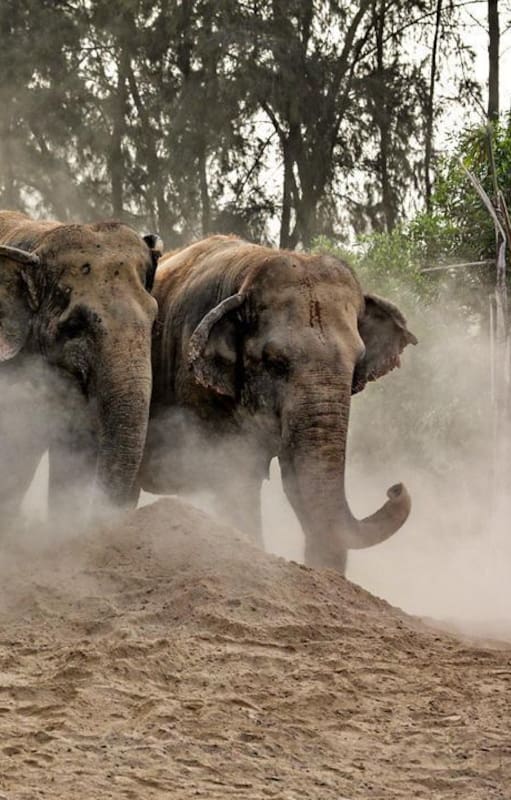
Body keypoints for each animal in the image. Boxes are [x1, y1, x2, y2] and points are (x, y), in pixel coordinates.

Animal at [138, 235, 417, 573]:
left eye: (357, 364)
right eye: (276, 364)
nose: (395, 488)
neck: (248, 272)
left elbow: (289, 479)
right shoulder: (193, 382)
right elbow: (235, 478)